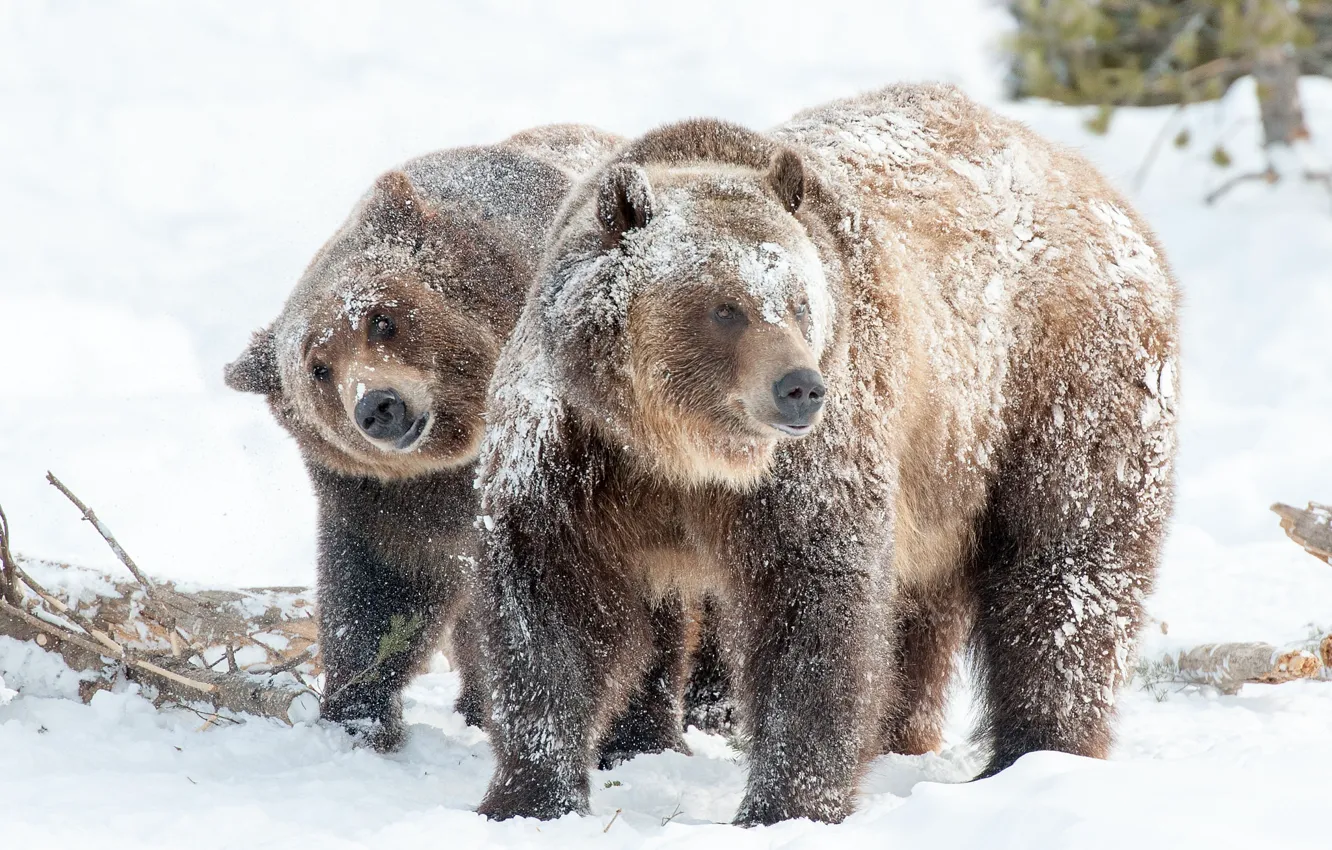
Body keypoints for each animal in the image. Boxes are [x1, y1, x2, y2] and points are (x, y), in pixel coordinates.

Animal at [223, 125, 631, 752]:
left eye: (382, 319)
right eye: (318, 368)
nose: (378, 405)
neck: (463, 447)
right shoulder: (385, 498)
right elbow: (380, 592)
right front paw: (359, 712)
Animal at [471, 83, 1178, 825]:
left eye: (797, 301)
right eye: (726, 308)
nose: (799, 387)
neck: (682, 452)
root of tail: (1102, 190)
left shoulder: (808, 467)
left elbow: (813, 613)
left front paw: (785, 804)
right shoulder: (576, 461)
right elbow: (549, 609)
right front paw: (531, 794)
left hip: (1062, 390)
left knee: (1064, 574)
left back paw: (1038, 752)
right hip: (941, 470)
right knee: (924, 609)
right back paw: (905, 734)